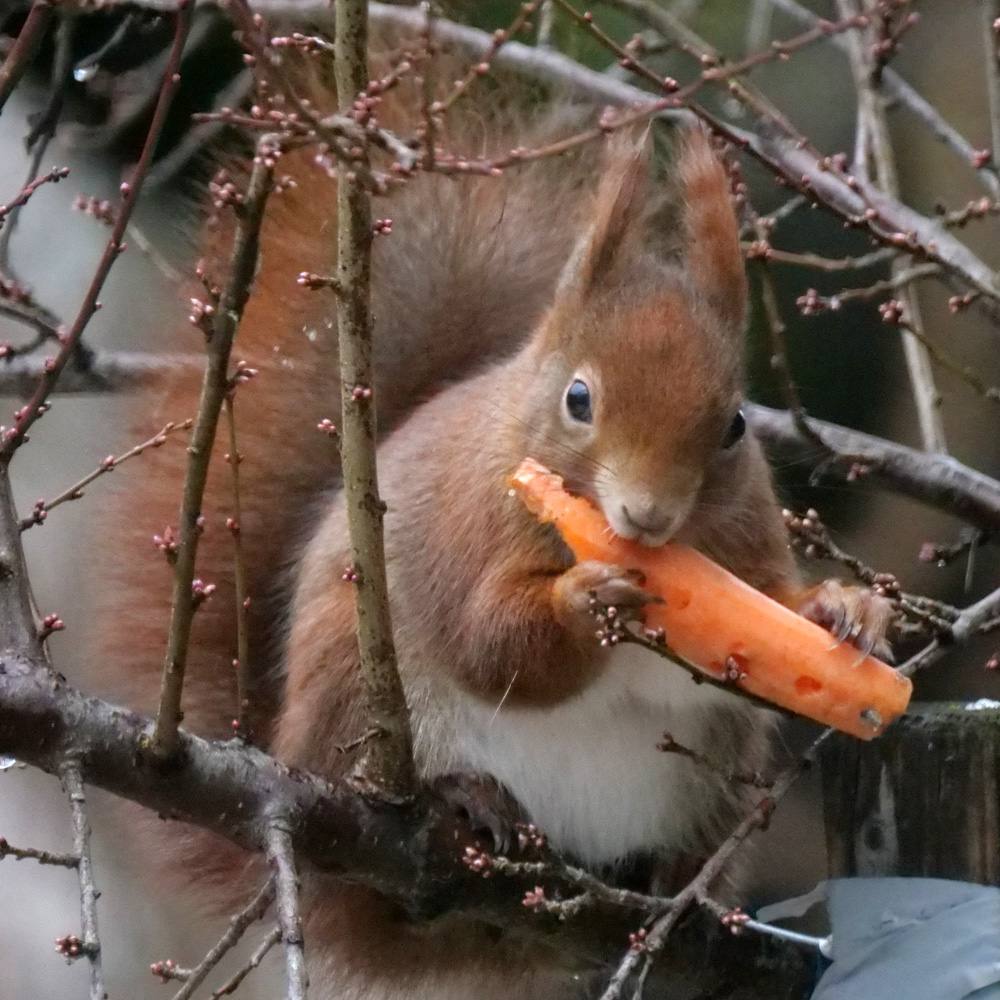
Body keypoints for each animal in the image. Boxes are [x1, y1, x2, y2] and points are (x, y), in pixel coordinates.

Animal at [90, 64, 896, 1000]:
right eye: (578, 399)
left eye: (735, 425)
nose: (647, 514)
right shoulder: (474, 526)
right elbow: (493, 646)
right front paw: (584, 598)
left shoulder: (747, 546)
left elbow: (767, 635)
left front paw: (844, 610)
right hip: (358, 704)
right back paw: (466, 798)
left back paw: (664, 876)